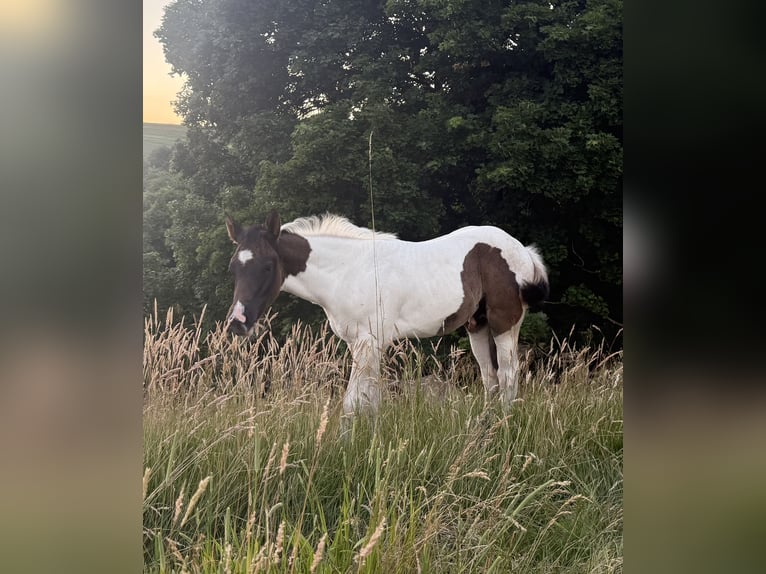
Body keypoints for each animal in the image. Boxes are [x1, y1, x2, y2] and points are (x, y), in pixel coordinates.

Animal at [224, 211, 549, 416]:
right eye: (233, 267)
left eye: (268, 266)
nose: (237, 323)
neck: (348, 270)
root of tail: (523, 250)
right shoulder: (360, 344)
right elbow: (370, 399)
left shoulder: (369, 342)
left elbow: (354, 402)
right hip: (476, 326)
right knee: (489, 377)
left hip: (504, 323)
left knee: (508, 376)